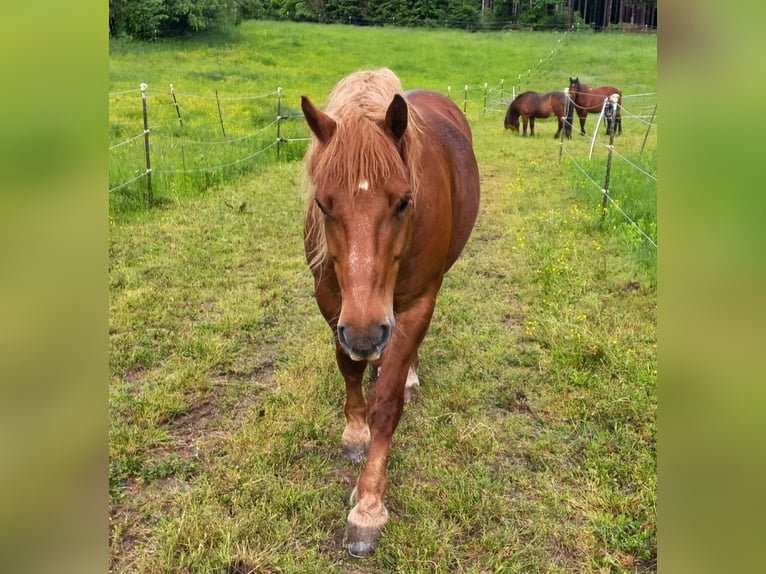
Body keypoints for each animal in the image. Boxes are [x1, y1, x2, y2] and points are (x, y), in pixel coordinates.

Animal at [301, 69, 480, 557]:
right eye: (323, 204)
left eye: (403, 201)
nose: (366, 335)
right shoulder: (333, 305)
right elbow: (348, 369)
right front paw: (354, 432)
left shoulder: (415, 304)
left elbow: (386, 403)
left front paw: (368, 506)